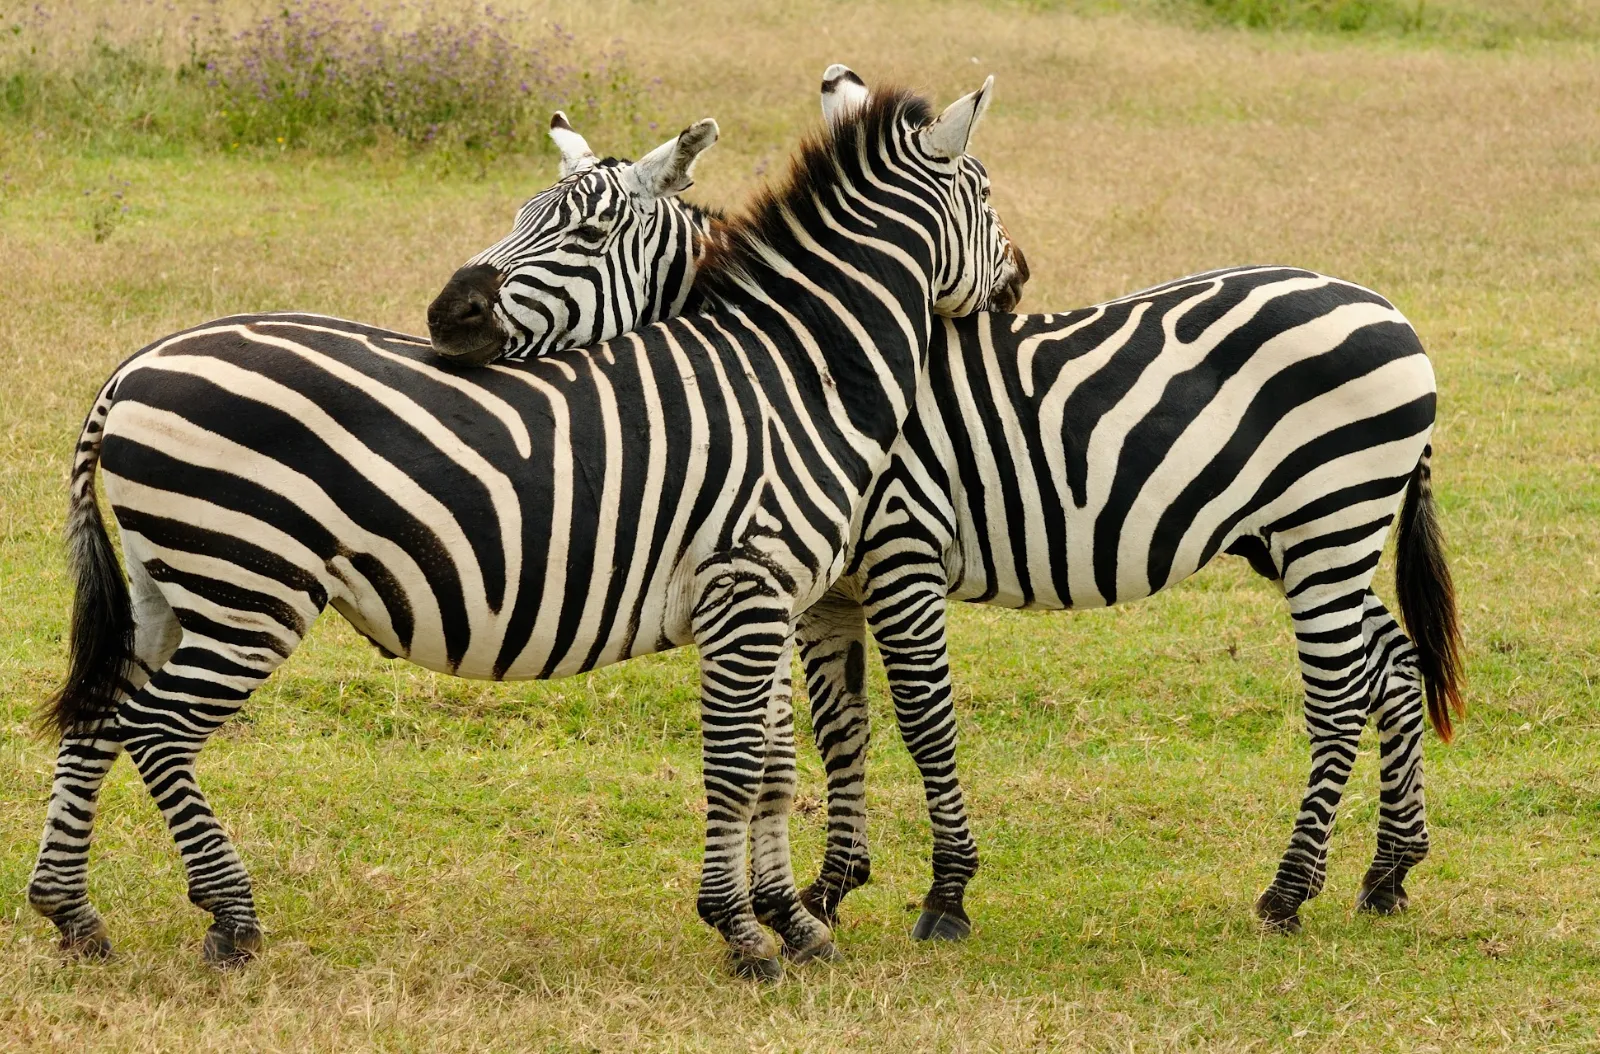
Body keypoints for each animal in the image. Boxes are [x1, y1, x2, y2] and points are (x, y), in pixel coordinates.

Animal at [28, 82, 1024, 978]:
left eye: (584, 232)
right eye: (985, 195)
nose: (1016, 282)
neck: (795, 369)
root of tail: (133, 369)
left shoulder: (770, 598)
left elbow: (776, 764)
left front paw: (794, 923)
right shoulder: (745, 585)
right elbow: (738, 764)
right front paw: (743, 934)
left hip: (169, 588)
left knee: (99, 719)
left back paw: (74, 917)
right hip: (249, 589)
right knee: (158, 732)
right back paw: (231, 921)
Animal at [438, 65, 1465, 940]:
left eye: (584, 237)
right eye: (521, 215)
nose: (447, 314)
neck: (809, 367)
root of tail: (1386, 308)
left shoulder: (901, 552)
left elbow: (924, 720)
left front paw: (945, 895)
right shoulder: (826, 586)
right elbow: (838, 728)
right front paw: (828, 889)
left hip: (1328, 522)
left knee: (1339, 692)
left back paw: (1290, 893)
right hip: (1298, 537)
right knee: (1393, 663)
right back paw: (1387, 873)